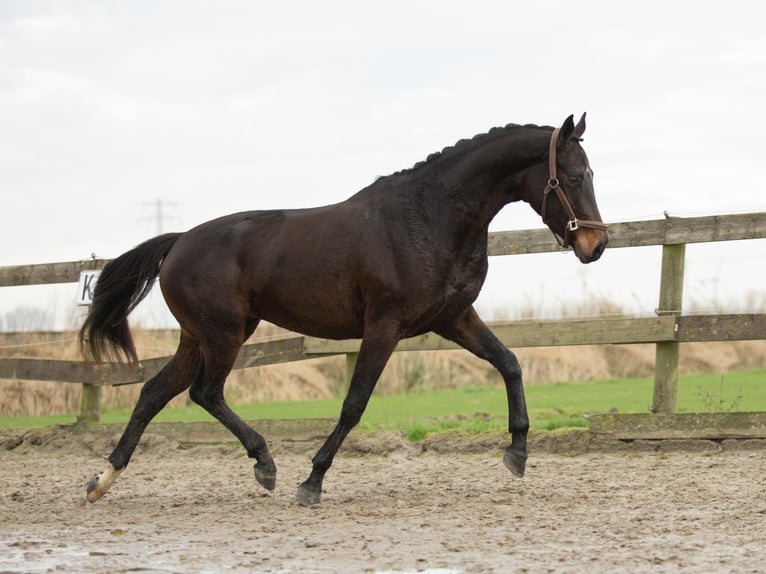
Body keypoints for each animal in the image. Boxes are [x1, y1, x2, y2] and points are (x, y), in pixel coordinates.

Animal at [76, 113, 608, 508]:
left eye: (590, 174)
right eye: (573, 176)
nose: (596, 245)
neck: (429, 217)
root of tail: (178, 241)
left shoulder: (453, 319)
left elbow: (510, 363)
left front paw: (517, 452)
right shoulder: (384, 326)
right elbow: (355, 404)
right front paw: (311, 482)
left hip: (203, 335)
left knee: (154, 393)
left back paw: (103, 480)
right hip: (222, 333)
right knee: (204, 392)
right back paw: (265, 464)